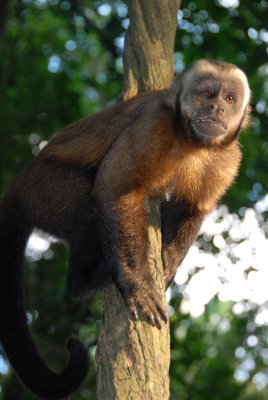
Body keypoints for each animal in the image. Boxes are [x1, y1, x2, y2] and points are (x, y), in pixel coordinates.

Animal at [0, 60, 251, 400]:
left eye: (229, 99)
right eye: (207, 93)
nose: (216, 108)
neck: (192, 143)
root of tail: (18, 183)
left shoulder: (229, 157)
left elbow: (191, 209)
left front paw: (167, 265)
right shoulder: (153, 125)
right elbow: (114, 187)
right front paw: (139, 284)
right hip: (44, 191)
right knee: (86, 205)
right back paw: (89, 280)